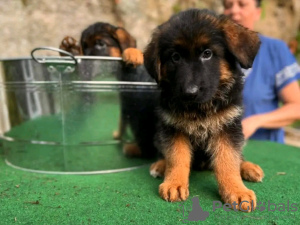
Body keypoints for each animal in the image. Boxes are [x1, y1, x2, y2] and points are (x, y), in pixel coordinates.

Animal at [144, 8, 264, 212]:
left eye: (207, 53)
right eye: (175, 57)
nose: (189, 92)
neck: (199, 109)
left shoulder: (228, 126)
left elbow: (228, 161)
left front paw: (236, 190)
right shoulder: (173, 127)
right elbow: (176, 157)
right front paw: (174, 183)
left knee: (239, 157)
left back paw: (248, 167)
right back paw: (160, 166)